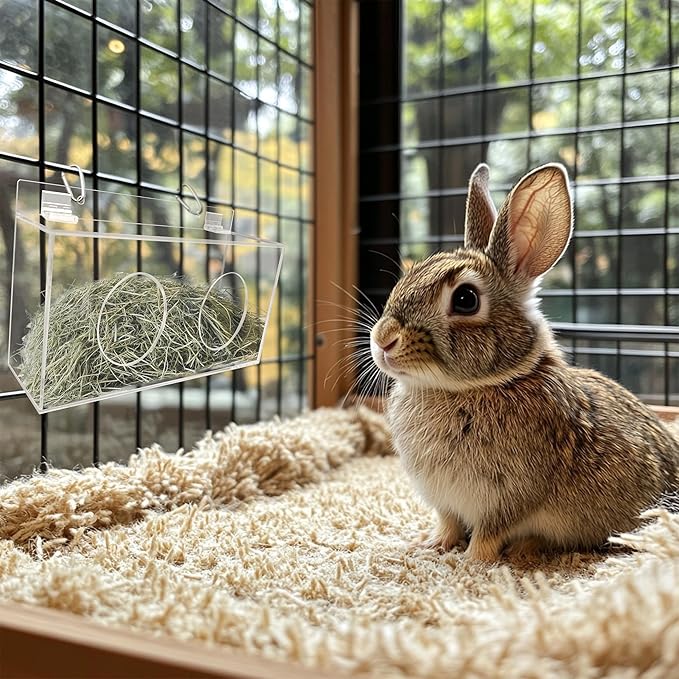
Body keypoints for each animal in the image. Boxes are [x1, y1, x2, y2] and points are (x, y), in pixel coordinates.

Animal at [370, 163, 679, 562]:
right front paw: (430, 546)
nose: (383, 340)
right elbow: (448, 524)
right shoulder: (447, 503)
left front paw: (471, 563)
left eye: (466, 299)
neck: (483, 385)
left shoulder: (506, 498)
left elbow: (488, 534)